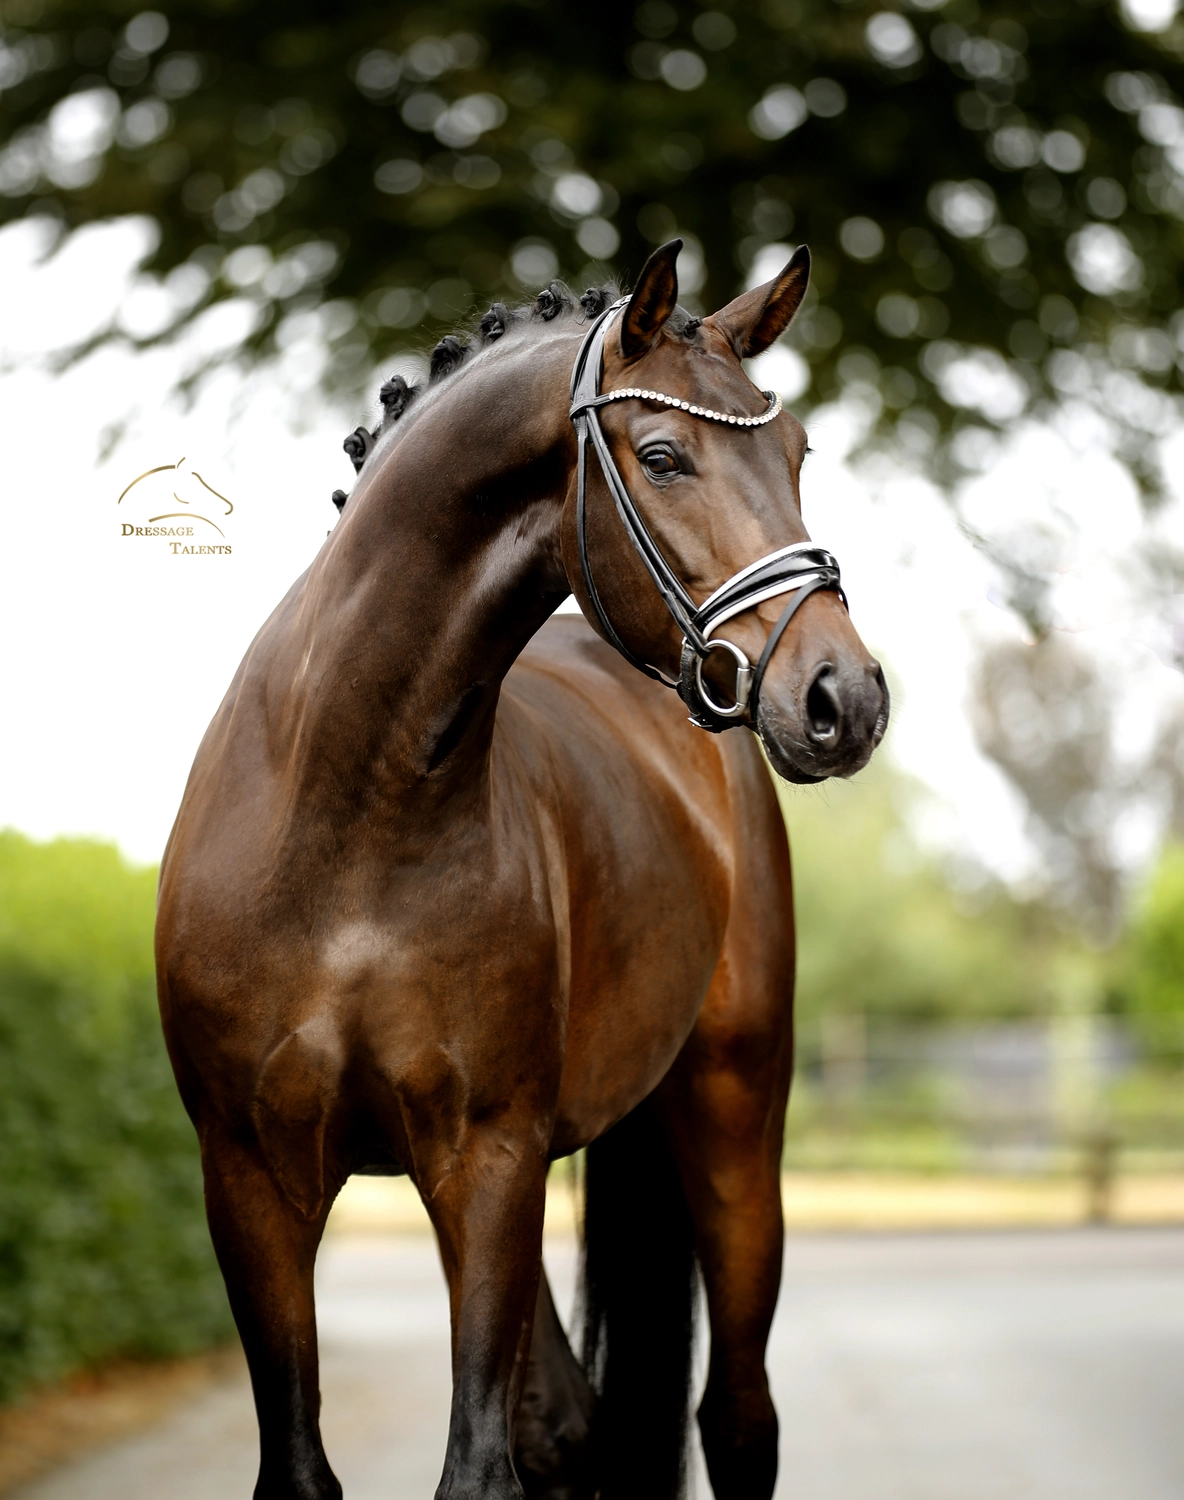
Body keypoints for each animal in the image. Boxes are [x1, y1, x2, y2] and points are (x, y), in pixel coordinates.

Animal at [155, 239, 888, 1500]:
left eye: (795, 454)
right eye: (661, 455)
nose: (843, 699)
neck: (347, 825)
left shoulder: (485, 1163)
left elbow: (476, 1467)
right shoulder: (249, 1180)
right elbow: (304, 1466)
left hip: (733, 1123)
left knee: (737, 1418)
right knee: (571, 1423)